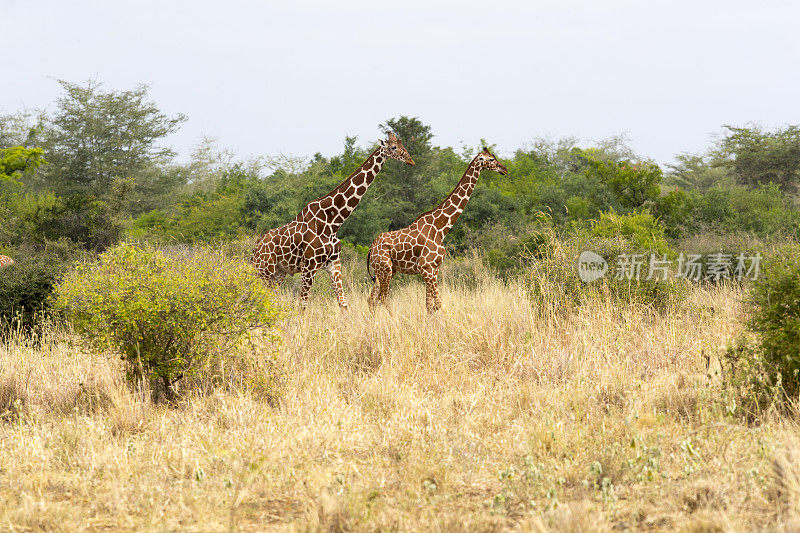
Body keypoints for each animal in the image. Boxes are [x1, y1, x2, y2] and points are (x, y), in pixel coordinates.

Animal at [252, 130, 416, 310]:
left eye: (402, 144)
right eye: (393, 147)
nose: (411, 160)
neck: (332, 222)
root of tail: (255, 248)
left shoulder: (334, 264)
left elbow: (343, 304)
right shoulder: (308, 265)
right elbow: (302, 304)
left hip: (279, 273)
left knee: (269, 299)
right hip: (263, 271)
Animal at [368, 147, 510, 312]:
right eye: (491, 159)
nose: (504, 169)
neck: (441, 228)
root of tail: (371, 249)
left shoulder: (434, 269)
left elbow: (430, 305)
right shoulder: (426, 267)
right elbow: (438, 303)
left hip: (384, 271)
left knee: (371, 299)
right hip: (386, 269)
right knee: (382, 298)